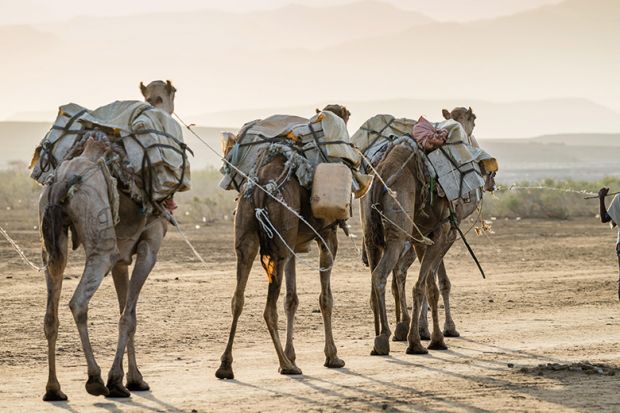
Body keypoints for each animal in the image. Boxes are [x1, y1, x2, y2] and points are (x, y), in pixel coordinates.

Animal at [40, 79, 177, 400]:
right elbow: (129, 316)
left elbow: (124, 310)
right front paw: (119, 380)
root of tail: (63, 180)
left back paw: (54, 389)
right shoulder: (148, 248)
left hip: (54, 244)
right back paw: (95, 379)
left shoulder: (121, 259)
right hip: (101, 248)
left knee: (51, 312)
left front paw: (134, 378)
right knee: (78, 303)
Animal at [214, 105, 352, 376]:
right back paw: (285, 365)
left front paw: (294, 354)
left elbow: (292, 299)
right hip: (278, 246)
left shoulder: (293, 247)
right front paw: (332, 356)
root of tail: (260, 189)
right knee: (268, 309)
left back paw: (226, 365)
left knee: (238, 299)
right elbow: (325, 298)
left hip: (249, 237)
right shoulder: (327, 238)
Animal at [358, 108, 494, 356]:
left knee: (378, 277)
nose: (489, 175)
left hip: (370, 234)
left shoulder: (423, 236)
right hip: (397, 236)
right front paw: (436, 336)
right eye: (474, 122)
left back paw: (383, 333)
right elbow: (433, 284)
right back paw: (385, 337)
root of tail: (381, 176)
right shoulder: (444, 232)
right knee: (382, 275)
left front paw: (423, 332)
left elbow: (429, 283)